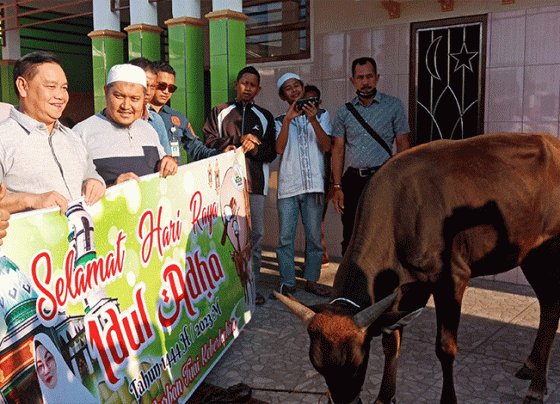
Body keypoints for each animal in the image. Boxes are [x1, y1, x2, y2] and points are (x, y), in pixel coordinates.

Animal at [274, 133, 560, 404]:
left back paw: (537, 387)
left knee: (551, 307)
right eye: (317, 365)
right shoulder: (405, 289)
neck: (401, 215)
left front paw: (448, 399)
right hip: (530, 254)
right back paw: (531, 365)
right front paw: (385, 396)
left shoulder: (452, 279)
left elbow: (445, 348)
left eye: (357, 362)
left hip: (549, 249)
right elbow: (391, 342)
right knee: (547, 305)